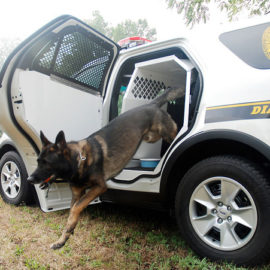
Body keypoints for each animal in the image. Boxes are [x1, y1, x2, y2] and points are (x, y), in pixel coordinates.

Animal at [26, 87, 184, 250]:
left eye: (47, 163)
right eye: (38, 161)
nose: (29, 179)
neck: (79, 162)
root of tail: (151, 104)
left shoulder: (99, 187)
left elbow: (76, 207)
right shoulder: (77, 194)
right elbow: (71, 213)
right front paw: (62, 239)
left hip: (166, 132)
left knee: (175, 131)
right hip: (151, 137)